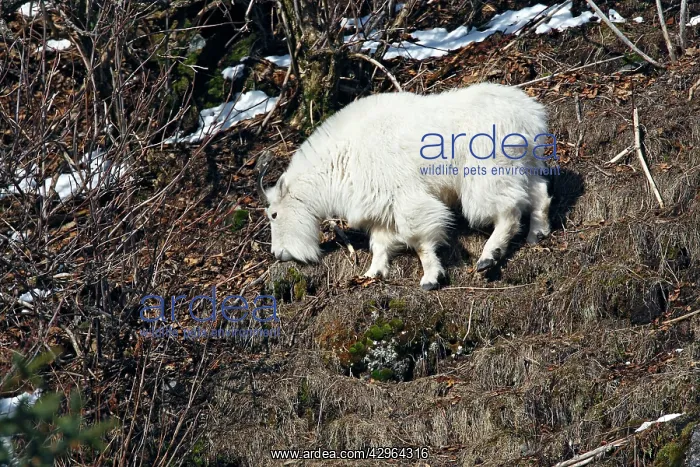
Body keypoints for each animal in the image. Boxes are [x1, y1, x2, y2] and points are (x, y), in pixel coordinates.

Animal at [257, 83, 553, 289]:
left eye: (274, 214)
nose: (279, 253)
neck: (341, 158)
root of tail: (530, 116)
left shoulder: (404, 198)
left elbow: (418, 238)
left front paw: (431, 277)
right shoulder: (380, 209)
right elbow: (380, 245)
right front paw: (372, 273)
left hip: (486, 174)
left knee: (508, 211)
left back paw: (489, 256)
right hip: (525, 165)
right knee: (540, 193)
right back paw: (537, 233)